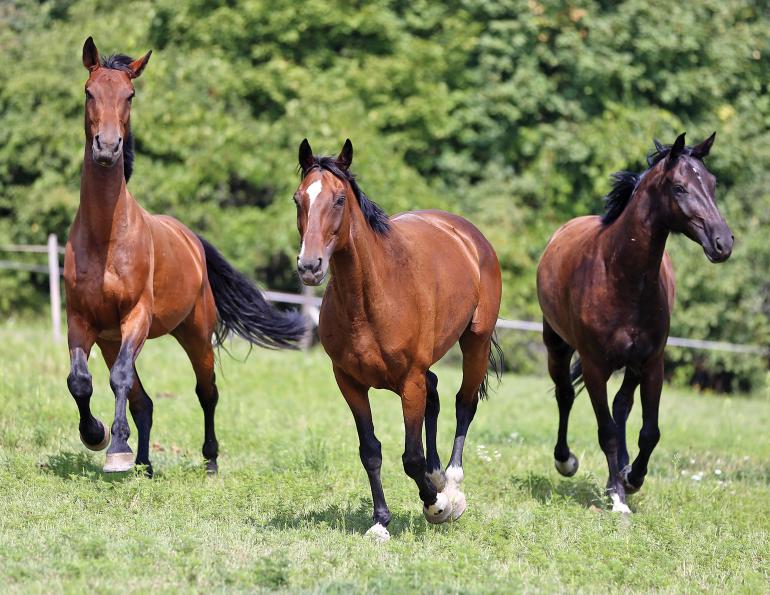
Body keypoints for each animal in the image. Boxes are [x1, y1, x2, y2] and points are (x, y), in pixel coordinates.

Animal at [64, 37, 306, 476]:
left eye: (130, 95)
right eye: (89, 92)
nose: (107, 147)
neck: (106, 237)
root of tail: (191, 239)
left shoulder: (136, 317)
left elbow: (119, 379)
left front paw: (115, 450)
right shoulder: (81, 319)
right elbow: (81, 381)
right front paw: (97, 436)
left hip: (194, 333)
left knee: (206, 392)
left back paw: (209, 462)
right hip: (111, 339)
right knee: (143, 402)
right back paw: (143, 464)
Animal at [293, 138, 503, 541]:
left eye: (339, 199)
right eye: (298, 199)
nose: (310, 266)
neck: (371, 298)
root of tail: (467, 234)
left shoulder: (409, 382)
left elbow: (411, 457)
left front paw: (437, 505)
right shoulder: (349, 382)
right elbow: (371, 450)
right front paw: (380, 521)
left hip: (476, 342)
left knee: (463, 403)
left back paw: (451, 483)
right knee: (436, 393)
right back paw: (438, 477)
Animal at [536, 132, 733, 513]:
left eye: (713, 183)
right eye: (679, 187)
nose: (723, 243)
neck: (621, 276)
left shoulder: (652, 364)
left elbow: (648, 431)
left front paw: (631, 478)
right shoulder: (595, 368)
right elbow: (606, 432)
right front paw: (618, 496)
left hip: (632, 366)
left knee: (622, 406)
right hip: (557, 345)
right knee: (566, 395)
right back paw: (566, 461)